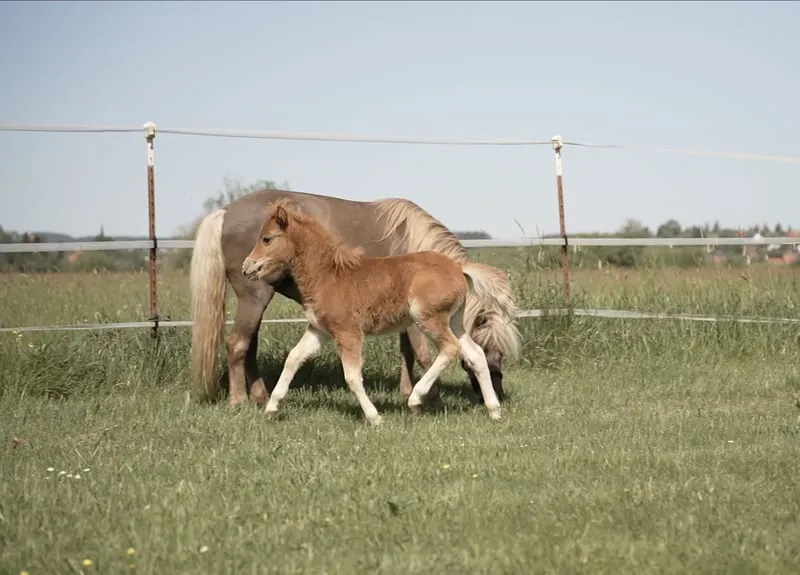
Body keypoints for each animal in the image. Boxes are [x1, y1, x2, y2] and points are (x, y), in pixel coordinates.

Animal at [190, 188, 520, 407]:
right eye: (490, 351)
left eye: (500, 356)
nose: (499, 395)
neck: (410, 239)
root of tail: (224, 213)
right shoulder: (415, 317)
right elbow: (423, 354)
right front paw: (430, 397)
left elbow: (406, 352)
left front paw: (408, 391)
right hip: (254, 296)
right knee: (237, 343)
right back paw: (239, 401)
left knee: (249, 346)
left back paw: (261, 396)